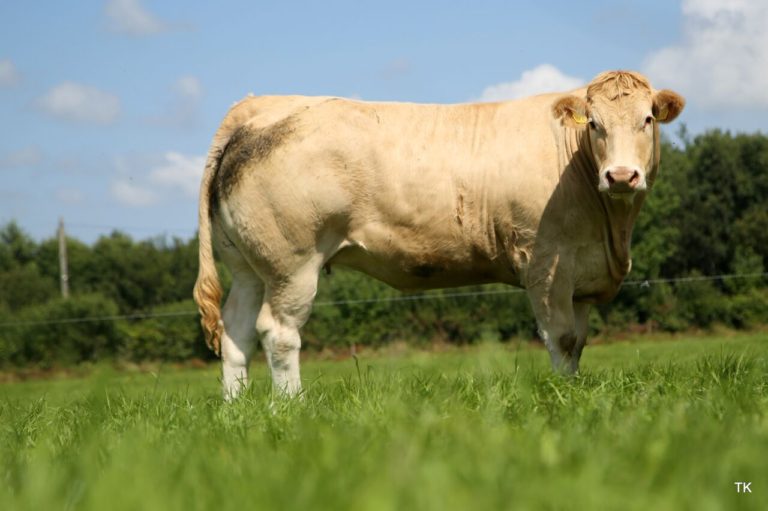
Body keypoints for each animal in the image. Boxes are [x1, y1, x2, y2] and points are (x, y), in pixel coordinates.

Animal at [192, 71, 684, 400]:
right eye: (594, 124)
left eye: (647, 120)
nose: (621, 175)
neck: (611, 228)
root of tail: (260, 106)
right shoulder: (546, 263)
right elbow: (561, 338)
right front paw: (563, 396)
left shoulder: (581, 270)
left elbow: (578, 342)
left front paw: (576, 392)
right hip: (291, 263)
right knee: (278, 332)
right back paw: (292, 407)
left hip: (248, 265)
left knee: (236, 331)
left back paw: (236, 409)